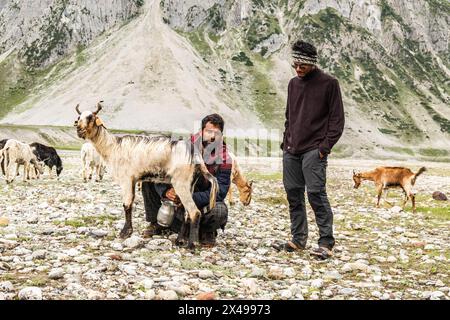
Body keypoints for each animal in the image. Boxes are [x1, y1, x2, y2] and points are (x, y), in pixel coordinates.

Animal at [74, 101, 218, 249]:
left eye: (91, 117)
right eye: (79, 117)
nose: (79, 129)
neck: (113, 147)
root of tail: (196, 155)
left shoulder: (126, 179)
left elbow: (126, 204)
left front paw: (124, 233)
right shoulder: (133, 180)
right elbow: (130, 203)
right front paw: (128, 231)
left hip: (181, 183)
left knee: (194, 212)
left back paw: (192, 244)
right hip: (190, 185)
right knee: (186, 213)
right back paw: (180, 240)